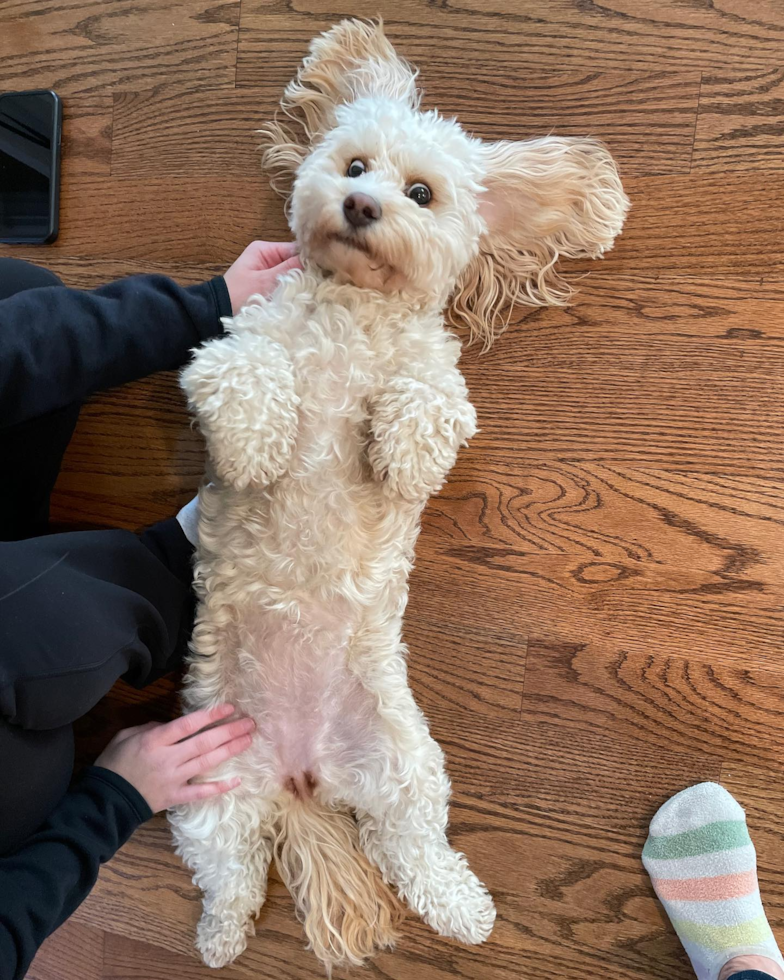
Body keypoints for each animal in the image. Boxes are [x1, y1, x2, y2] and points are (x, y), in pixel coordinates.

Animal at [170, 17, 632, 972]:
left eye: (421, 192)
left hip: (404, 765)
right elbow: (249, 372)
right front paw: (259, 446)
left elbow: (429, 402)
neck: (355, 309)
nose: (361, 205)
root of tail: (300, 773)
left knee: (413, 848)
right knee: (232, 870)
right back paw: (222, 936)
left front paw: (400, 458)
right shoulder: (231, 348)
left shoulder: (440, 382)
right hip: (210, 790)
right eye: (354, 166)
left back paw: (462, 909)